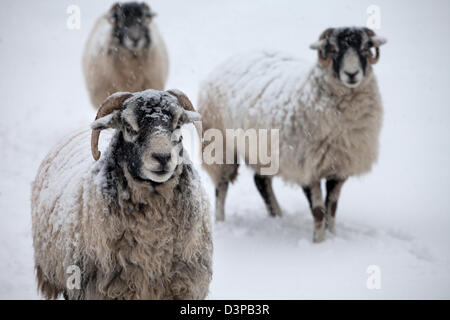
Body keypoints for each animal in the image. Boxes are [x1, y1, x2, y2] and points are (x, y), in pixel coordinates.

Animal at [197, 26, 386, 242]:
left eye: (365, 48)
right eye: (333, 49)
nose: (352, 74)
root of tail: (232, 59)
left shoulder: (339, 167)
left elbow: (332, 208)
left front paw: (332, 235)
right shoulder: (306, 167)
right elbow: (318, 211)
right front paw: (319, 242)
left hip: (263, 152)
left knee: (261, 182)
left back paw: (277, 216)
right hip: (220, 146)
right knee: (222, 186)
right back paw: (221, 221)